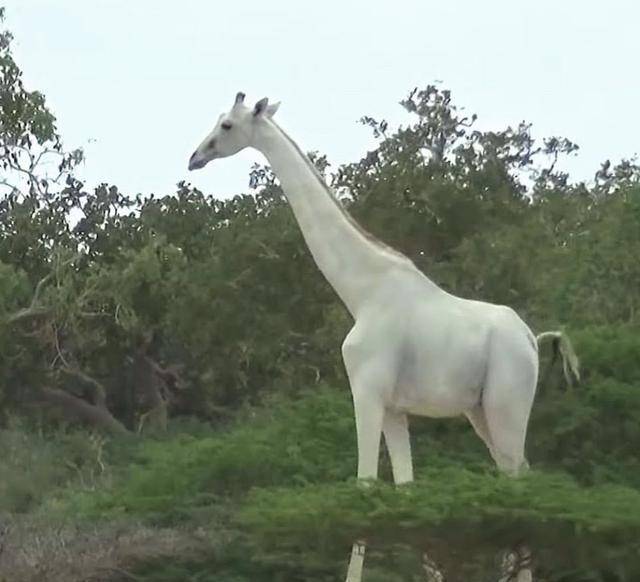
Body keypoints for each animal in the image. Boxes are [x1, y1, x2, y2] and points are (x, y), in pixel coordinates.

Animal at [189, 93, 580, 580]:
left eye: (225, 125)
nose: (194, 157)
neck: (362, 291)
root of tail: (531, 339)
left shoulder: (367, 390)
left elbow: (364, 486)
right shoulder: (396, 408)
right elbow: (406, 490)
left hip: (507, 404)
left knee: (517, 483)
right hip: (480, 412)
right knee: (519, 476)